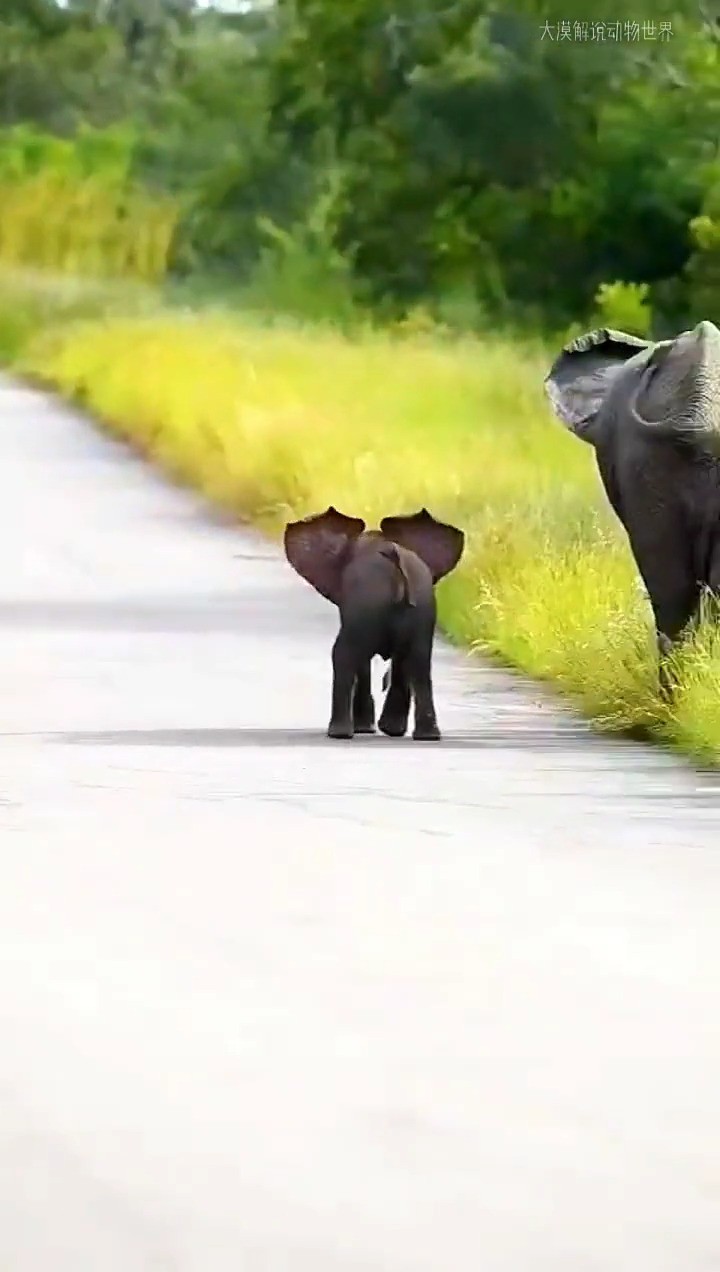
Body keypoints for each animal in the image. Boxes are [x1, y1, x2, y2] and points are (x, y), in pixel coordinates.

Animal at [284, 503, 465, 742]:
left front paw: (365, 729)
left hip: (370, 603)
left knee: (344, 654)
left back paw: (339, 733)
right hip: (420, 605)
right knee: (418, 661)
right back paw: (425, 736)